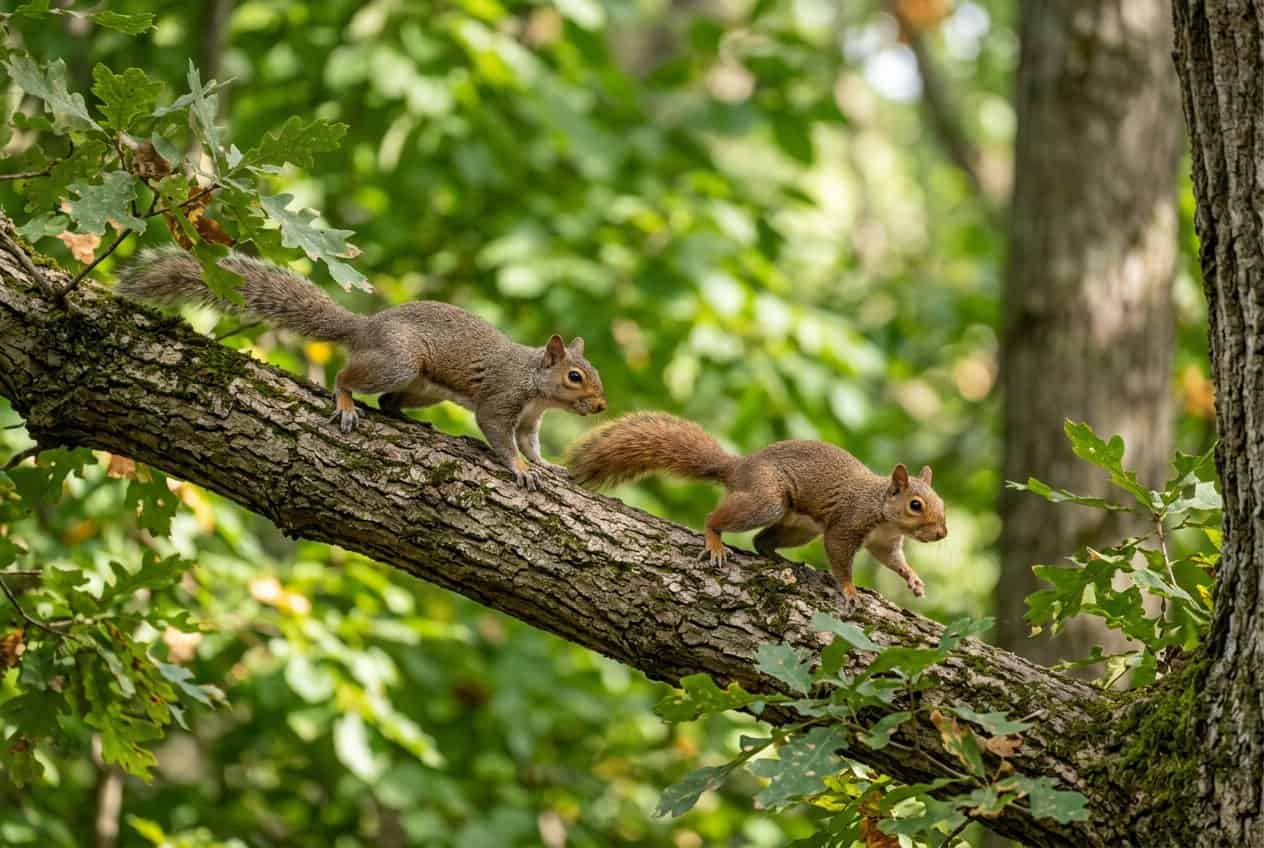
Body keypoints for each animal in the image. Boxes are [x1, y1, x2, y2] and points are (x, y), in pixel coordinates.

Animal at [117, 248, 607, 489]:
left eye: (594, 374)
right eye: (575, 377)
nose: (601, 405)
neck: (535, 384)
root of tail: (365, 327)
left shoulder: (529, 419)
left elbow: (529, 443)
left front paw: (545, 465)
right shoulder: (501, 400)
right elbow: (499, 437)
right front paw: (521, 471)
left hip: (420, 387)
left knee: (390, 402)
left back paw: (411, 422)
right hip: (397, 362)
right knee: (347, 378)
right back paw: (347, 403)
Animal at [564, 412, 947, 607]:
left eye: (941, 504)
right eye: (915, 505)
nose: (942, 534)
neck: (884, 512)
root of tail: (739, 468)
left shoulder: (885, 542)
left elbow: (893, 561)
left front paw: (914, 580)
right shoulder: (848, 523)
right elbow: (840, 557)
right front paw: (850, 590)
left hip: (798, 527)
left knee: (762, 542)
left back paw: (783, 561)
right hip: (766, 501)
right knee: (716, 519)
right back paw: (714, 541)